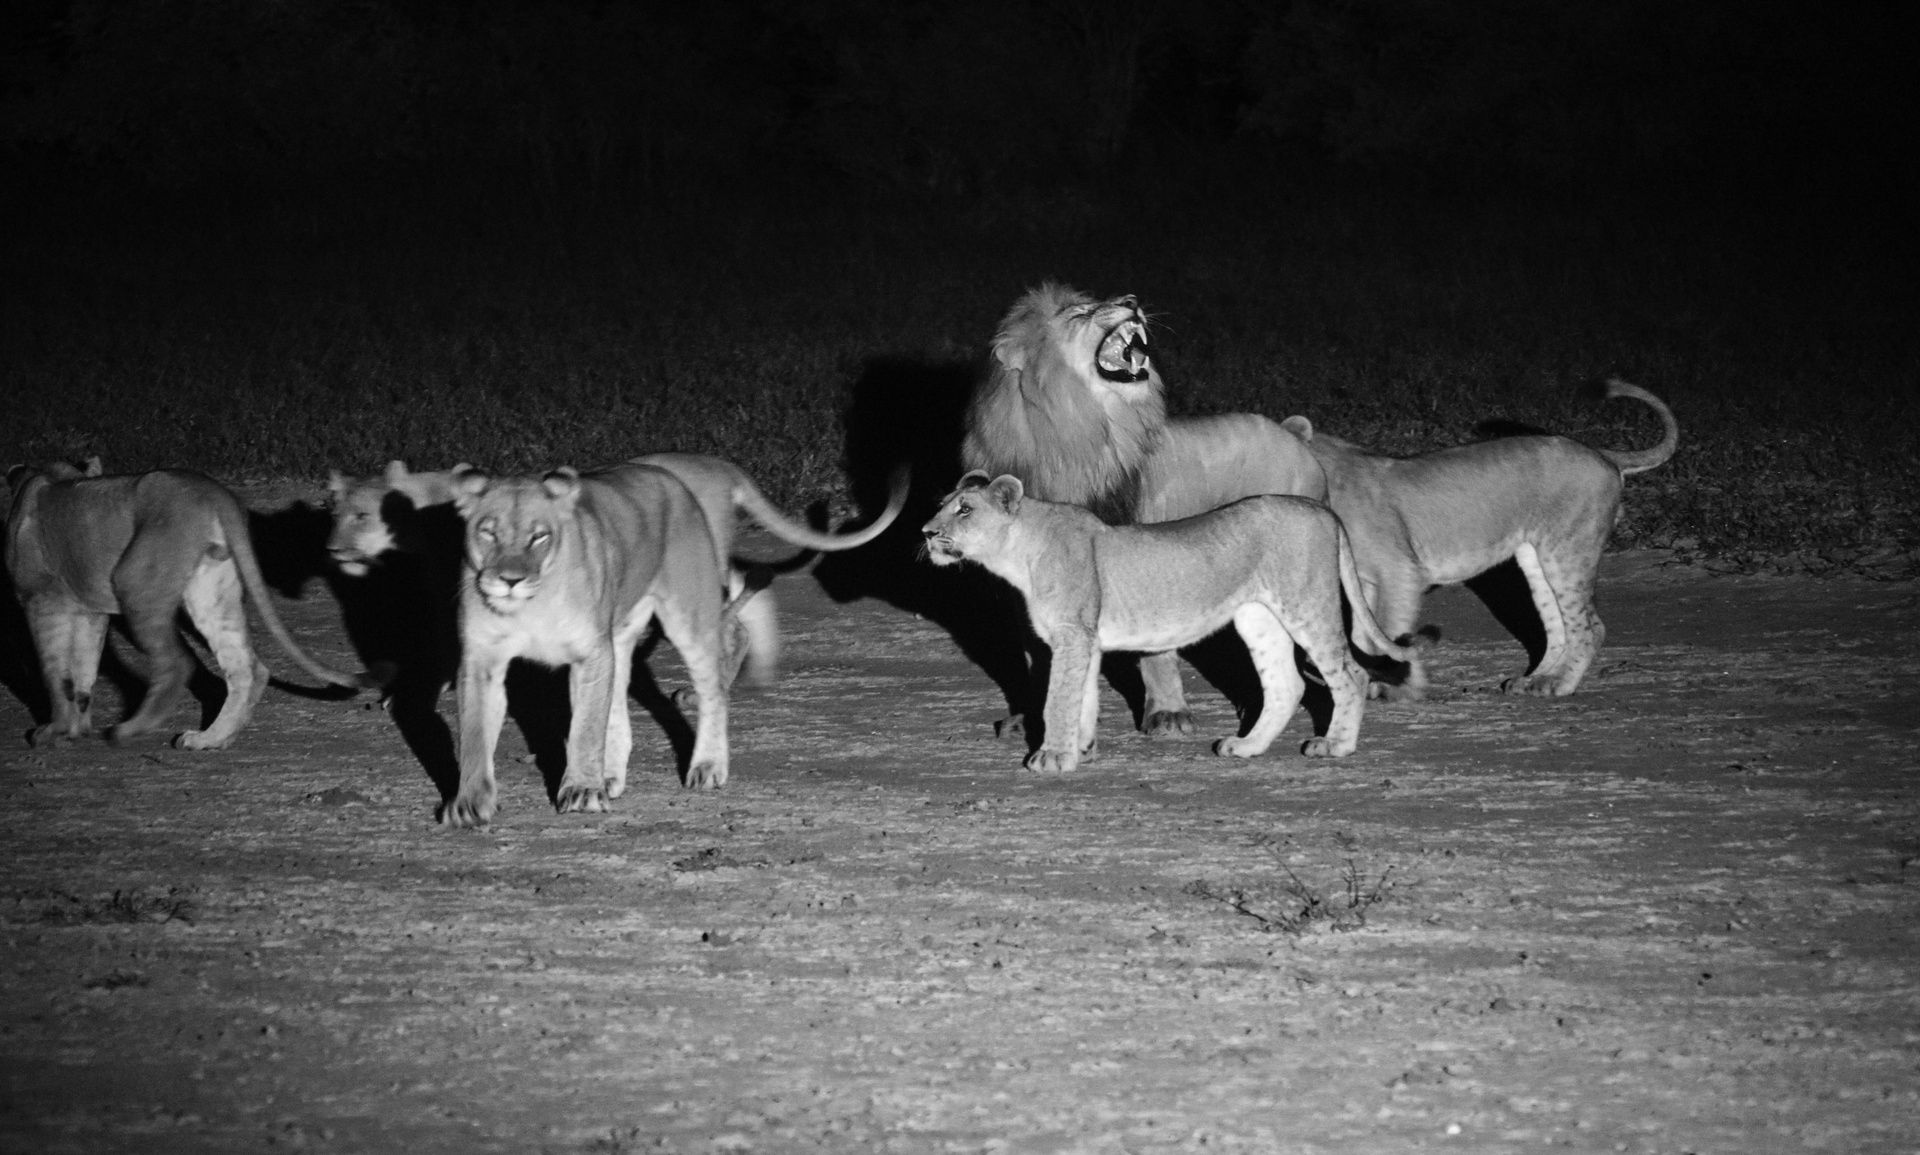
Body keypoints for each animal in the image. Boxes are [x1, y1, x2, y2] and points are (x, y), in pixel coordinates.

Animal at [3, 458, 374, 750]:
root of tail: (211, 490)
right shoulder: (90, 612)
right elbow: (82, 669)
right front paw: (74, 730)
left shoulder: (39, 601)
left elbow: (54, 672)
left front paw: (54, 730)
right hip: (210, 592)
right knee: (247, 668)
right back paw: (210, 739)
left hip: (134, 581)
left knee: (178, 663)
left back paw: (128, 730)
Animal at [444, 457, 907, 828]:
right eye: (487, 533)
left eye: (540, 536)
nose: (509, 580)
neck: (530, 604)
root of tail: (677, 473)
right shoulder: (481, 661)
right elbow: (475, 734)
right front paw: (469, 804)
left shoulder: (590, 653)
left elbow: (586, 730)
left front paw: (582, 792)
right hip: (623, 630)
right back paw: (611, 776)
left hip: (689, 614)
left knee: (716, 683)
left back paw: (707, 766)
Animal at [921, 471, 1428, 773]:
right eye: (941, 503)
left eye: (965, 509)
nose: (926, 532)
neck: (1018, 554)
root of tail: (1323, 509)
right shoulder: (1085, 640)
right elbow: (1082, 698)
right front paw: (1081, 750)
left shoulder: (1071, 636)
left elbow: (1057, 701)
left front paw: (1052, 755)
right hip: (1258, 618)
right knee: (1287, 683)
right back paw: (1245, 747)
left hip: (1308, 603)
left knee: (1351, 673)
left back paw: (1335, 745)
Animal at [963, 283, 1326, 735]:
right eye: (1079, 314)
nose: (1131, 301)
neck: (1074, 436)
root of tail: (1292, 432)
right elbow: (1037, 650)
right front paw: (1033, 718)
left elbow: (1157, 648)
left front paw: (1167, 713)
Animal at [1279, 378, 1679, 699]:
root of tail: (1602, 454)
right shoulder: (1364, 580)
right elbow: (1366, 635)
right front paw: (1369, 682)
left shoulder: (1400, 571)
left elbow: (1391, 631)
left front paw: (1399, 687)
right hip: (1535, 557)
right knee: (1557, 625)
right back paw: (1533, 680)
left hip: (1568, 550)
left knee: (1590, 628)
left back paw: (1559, 685)